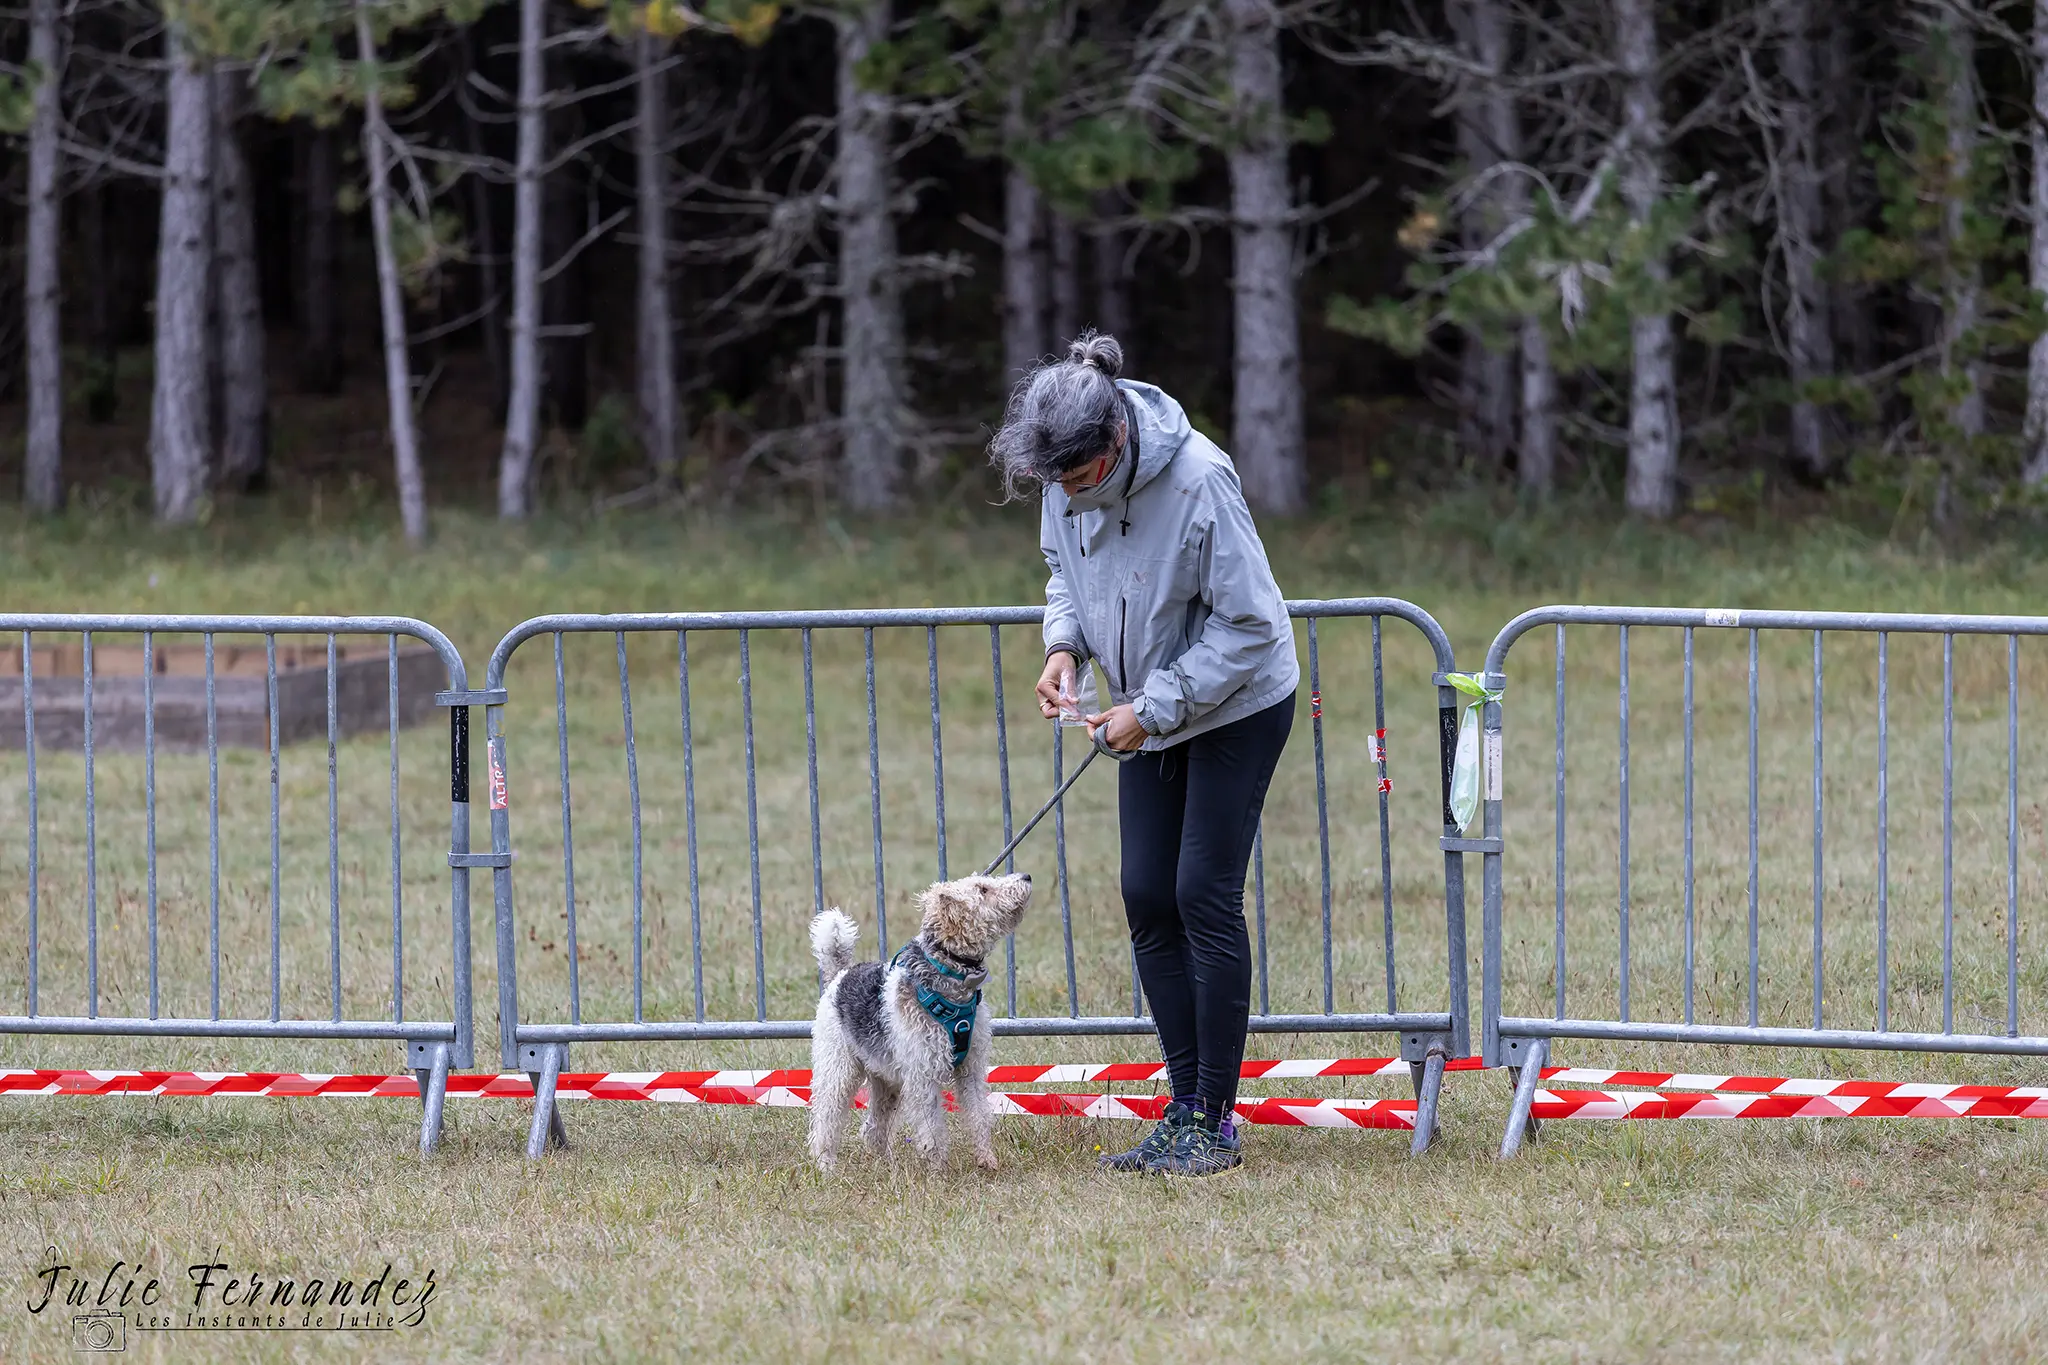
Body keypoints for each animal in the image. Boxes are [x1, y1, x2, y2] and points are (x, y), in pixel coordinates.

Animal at [806, 875, 1032, 1178]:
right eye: (982, 889)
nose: (1026, 877)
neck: (949, 981)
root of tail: (839, 976)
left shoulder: (970, 1069)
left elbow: (980, 1117)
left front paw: (987, 1160)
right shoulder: (924, 1075)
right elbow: (932, 1130)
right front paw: (939, 1172)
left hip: (886, 1080)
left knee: (873, 1129)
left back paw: (885, 1165)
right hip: (838, 1069)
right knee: (825, 1120)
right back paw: (825, 1164)